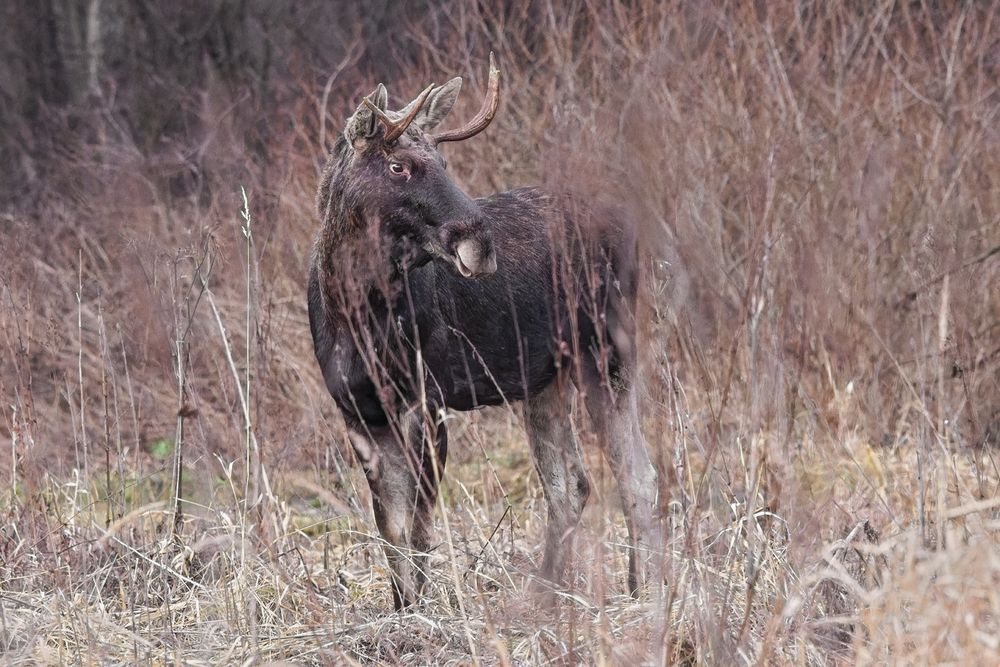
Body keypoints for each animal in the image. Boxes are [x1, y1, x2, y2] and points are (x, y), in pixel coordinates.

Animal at [308, 54, 661, 610]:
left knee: (637, 474)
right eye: (398, 165)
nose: (480, 241)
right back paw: (545, 594)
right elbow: (389, 529)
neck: (351, 313)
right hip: (544, 378)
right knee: (571, 484)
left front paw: (425, 608)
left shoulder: (427, 399)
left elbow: (418, 527)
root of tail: (632, 229)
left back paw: (639, 589)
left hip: (607, 350)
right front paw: (402, 608)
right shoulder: (357, 410)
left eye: (444, 161)